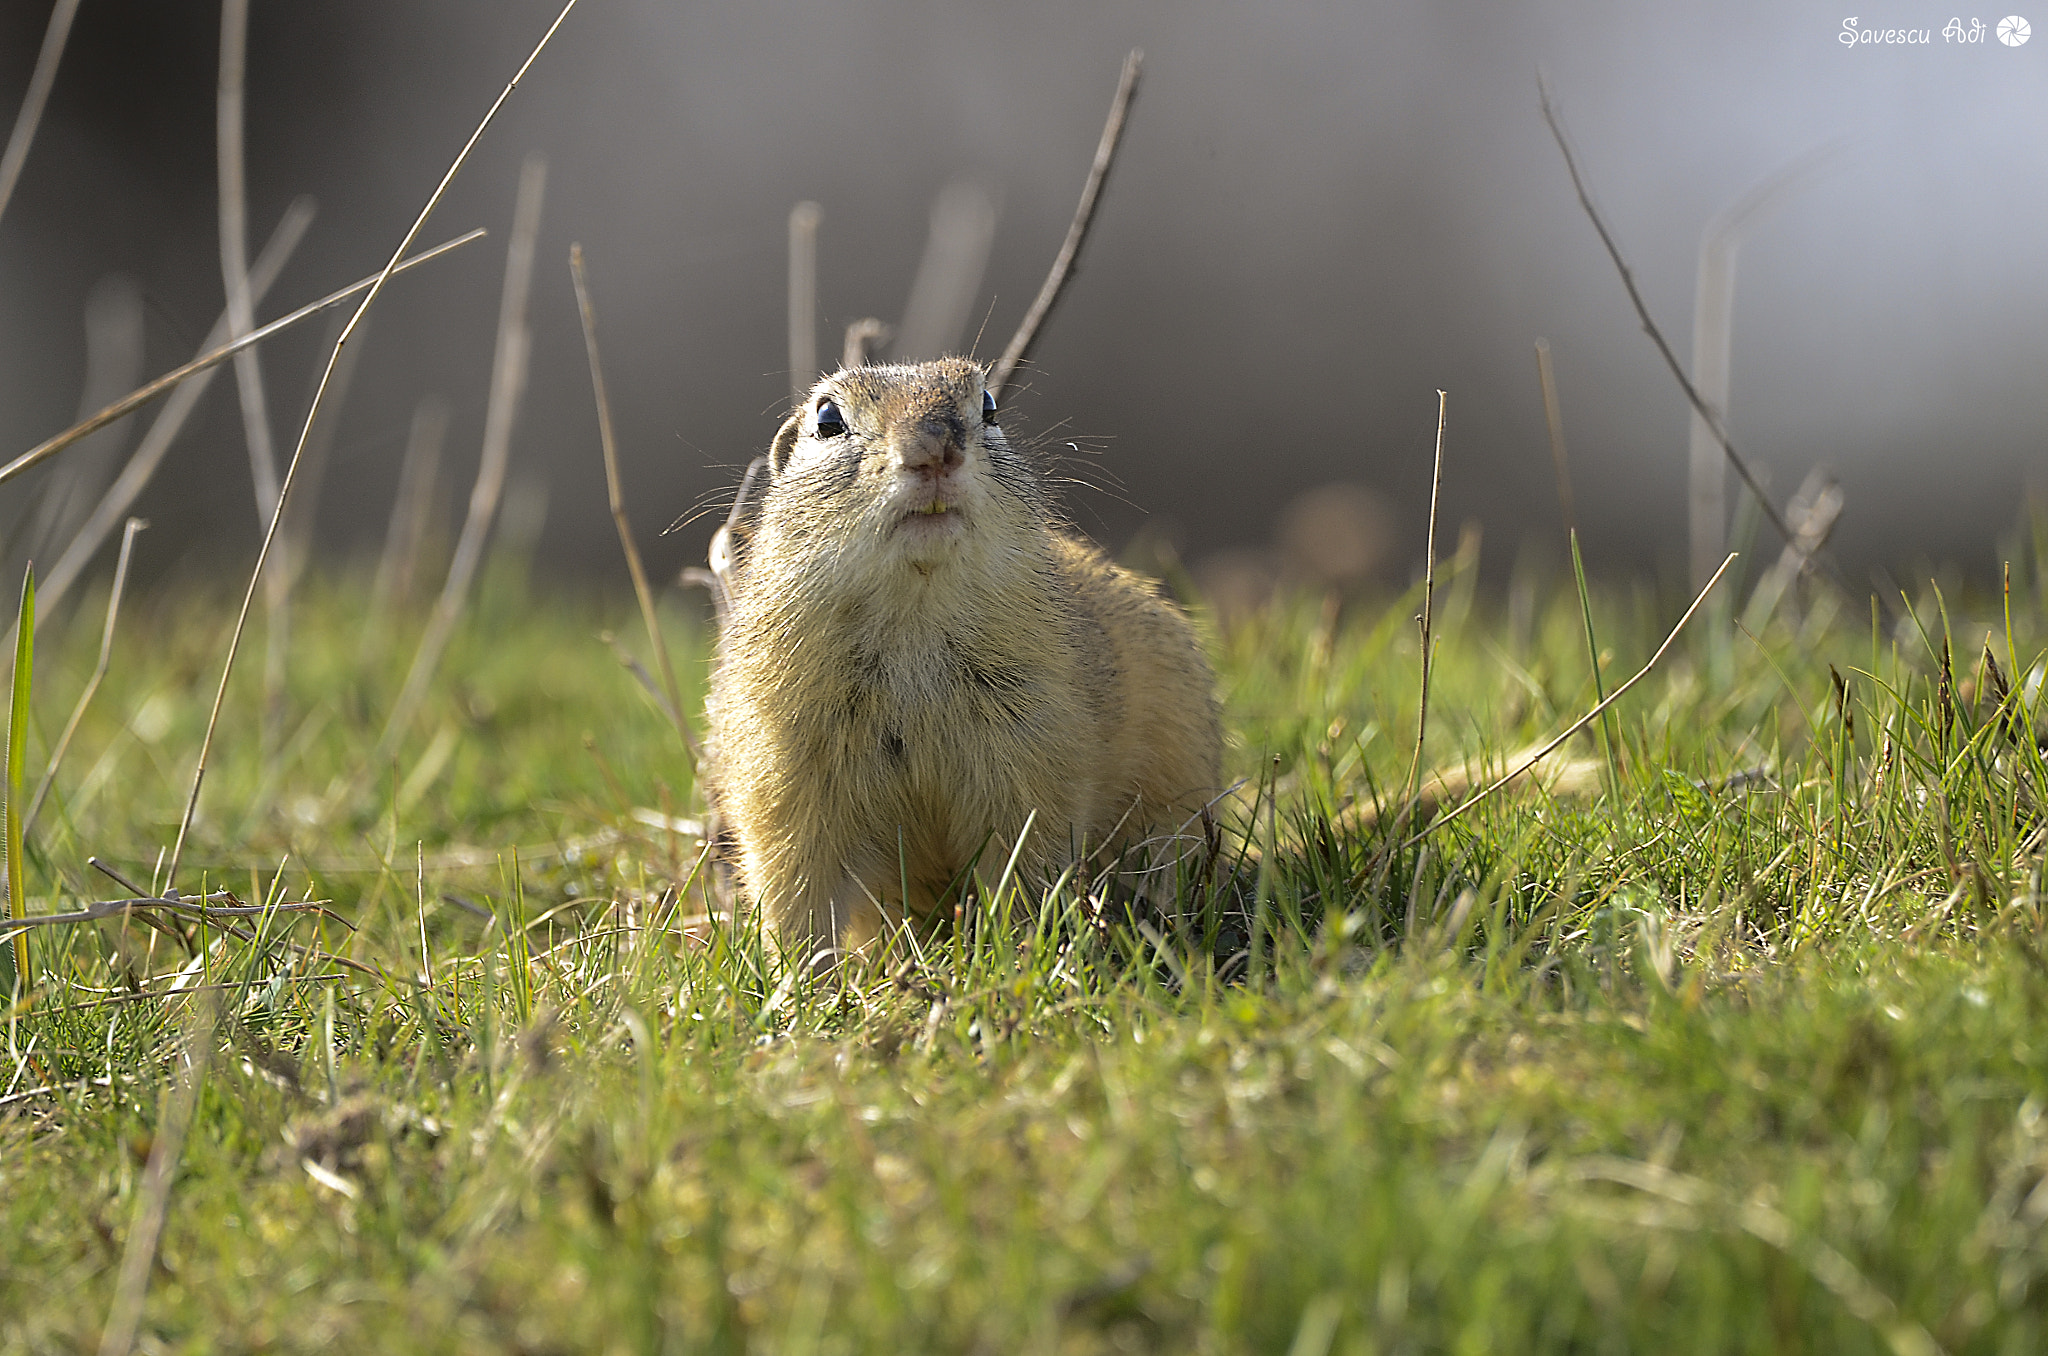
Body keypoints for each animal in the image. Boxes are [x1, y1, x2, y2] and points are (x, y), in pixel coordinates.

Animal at [704, 360, 1212, 954]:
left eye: (988, 405)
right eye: (827, 418)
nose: (934, 449)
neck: (912, 622)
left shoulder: (1035, 752)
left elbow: (1025, 867)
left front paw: (1018, 950)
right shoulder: (786, 776)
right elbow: (798, 894)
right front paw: (802, 974)